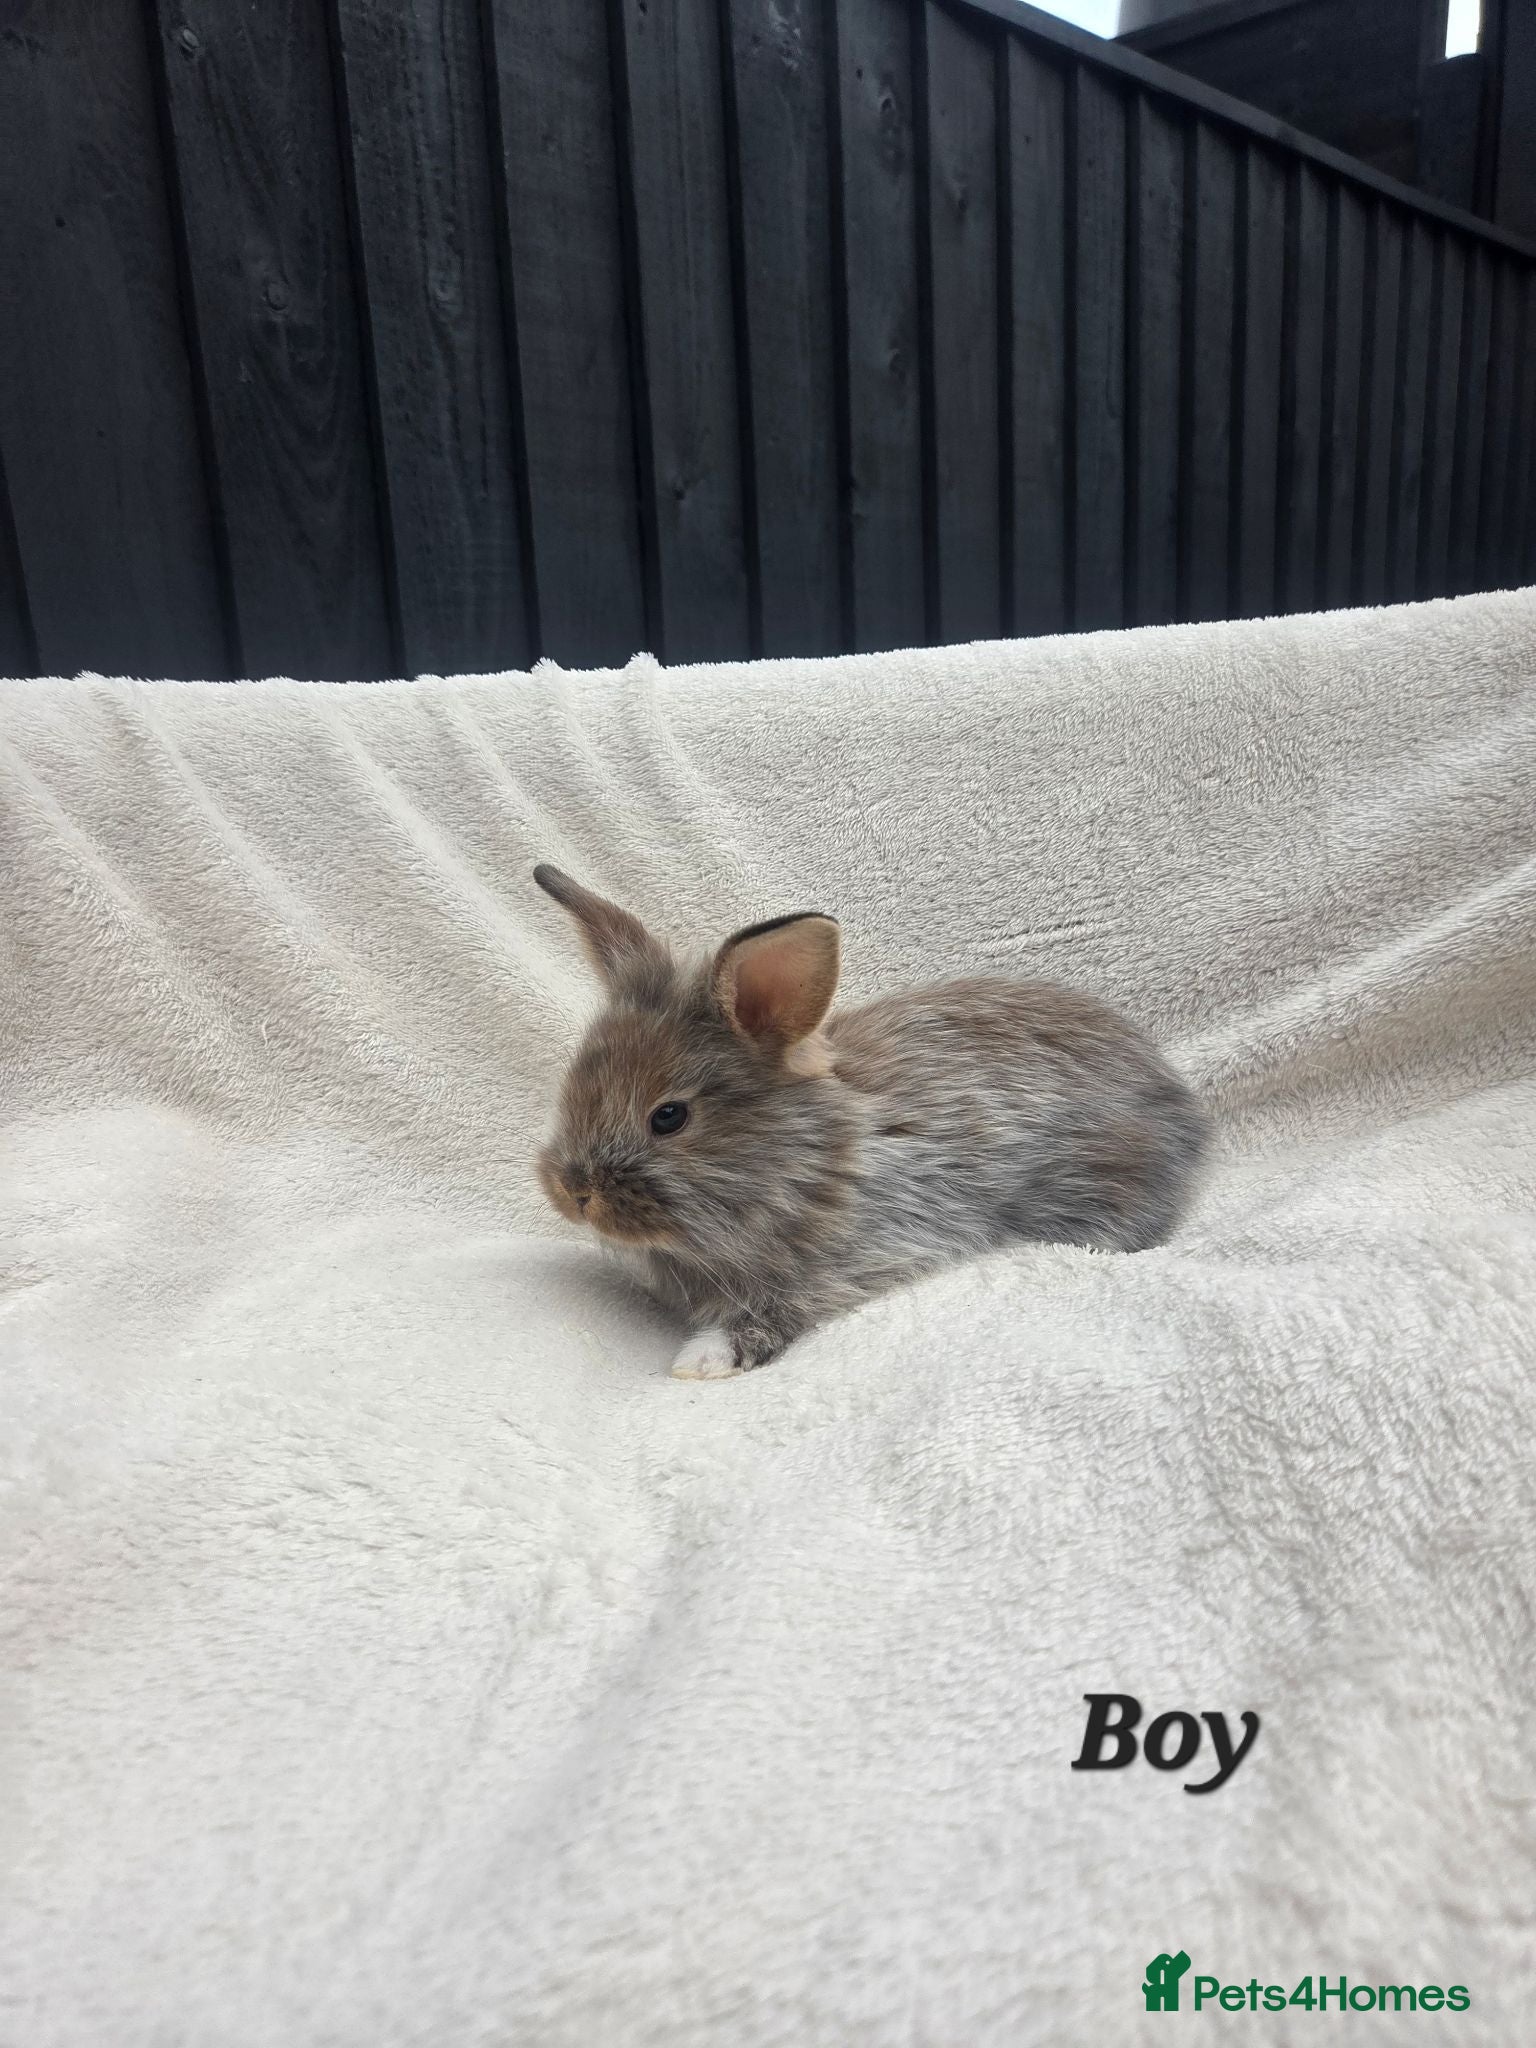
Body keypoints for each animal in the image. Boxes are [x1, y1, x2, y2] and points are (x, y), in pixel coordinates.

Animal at [533, 864, 1209, 1380]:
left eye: (669, 1117)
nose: (574, 1192)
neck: (810, 1162)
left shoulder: (859, 1257)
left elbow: (777, 1310)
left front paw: (702, 1361)